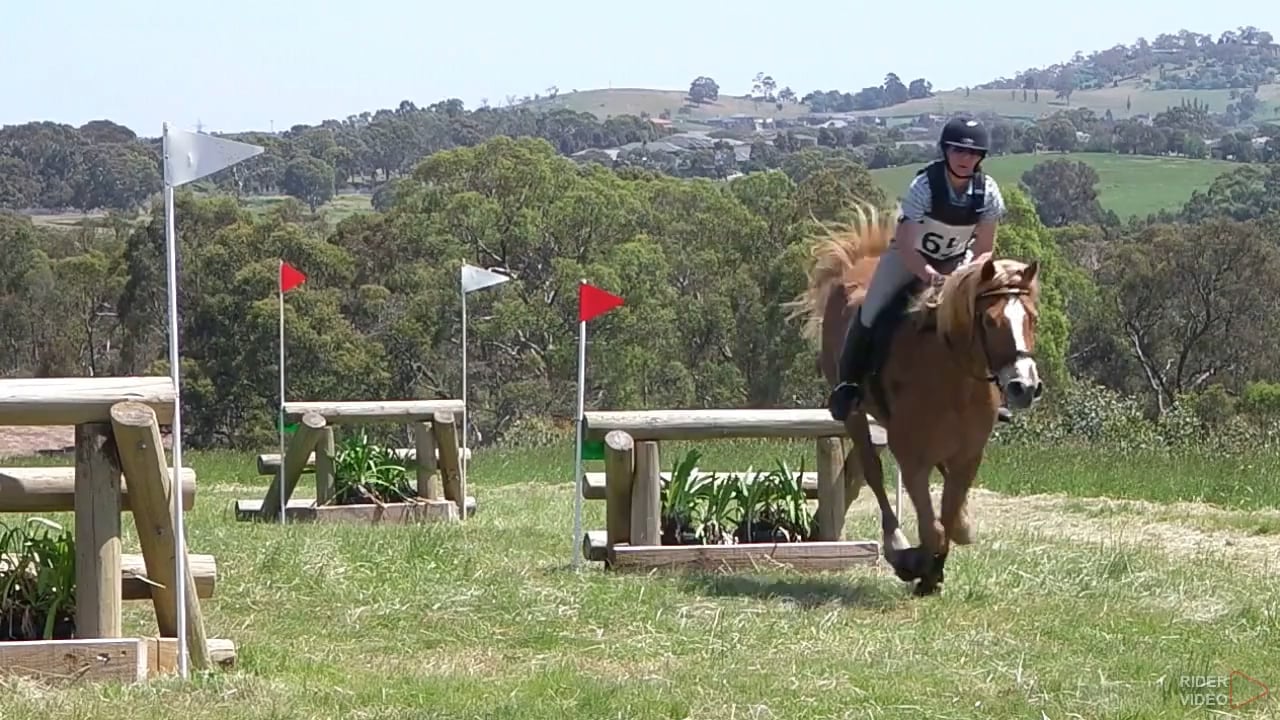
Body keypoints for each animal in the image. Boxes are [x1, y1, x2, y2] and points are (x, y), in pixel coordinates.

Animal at [783, 203, 1044, 594]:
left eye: (1033, 319)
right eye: (989, 321)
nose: (1023, 386)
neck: (955, 379)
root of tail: (860, 260)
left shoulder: (968, 455)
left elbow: (948, 517)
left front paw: (942, 559)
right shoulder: (912, 456)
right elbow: (931, 525)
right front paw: (918, 566)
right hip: (855, 413)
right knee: (872, 471)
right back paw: (897, 545)